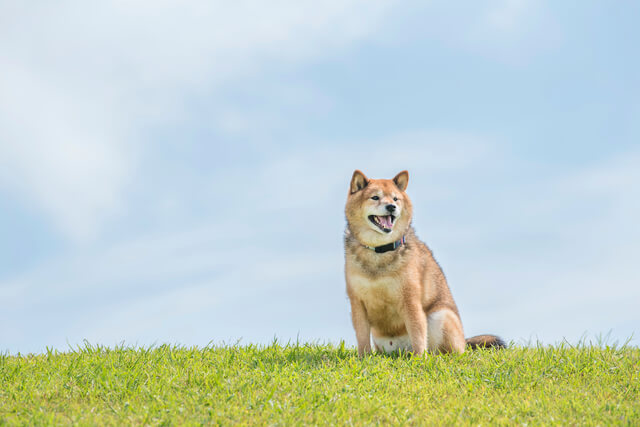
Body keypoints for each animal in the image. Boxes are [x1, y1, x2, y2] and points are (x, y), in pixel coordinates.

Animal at [344, 171, 504, 358]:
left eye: (395, 198)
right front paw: (364, 358)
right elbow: (362, 337)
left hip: (440, 316)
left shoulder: (410, 299)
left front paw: (420, 359)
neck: (379, 251)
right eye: (375, 197)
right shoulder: (357, 302)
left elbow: (418, 333)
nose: (391, 207)